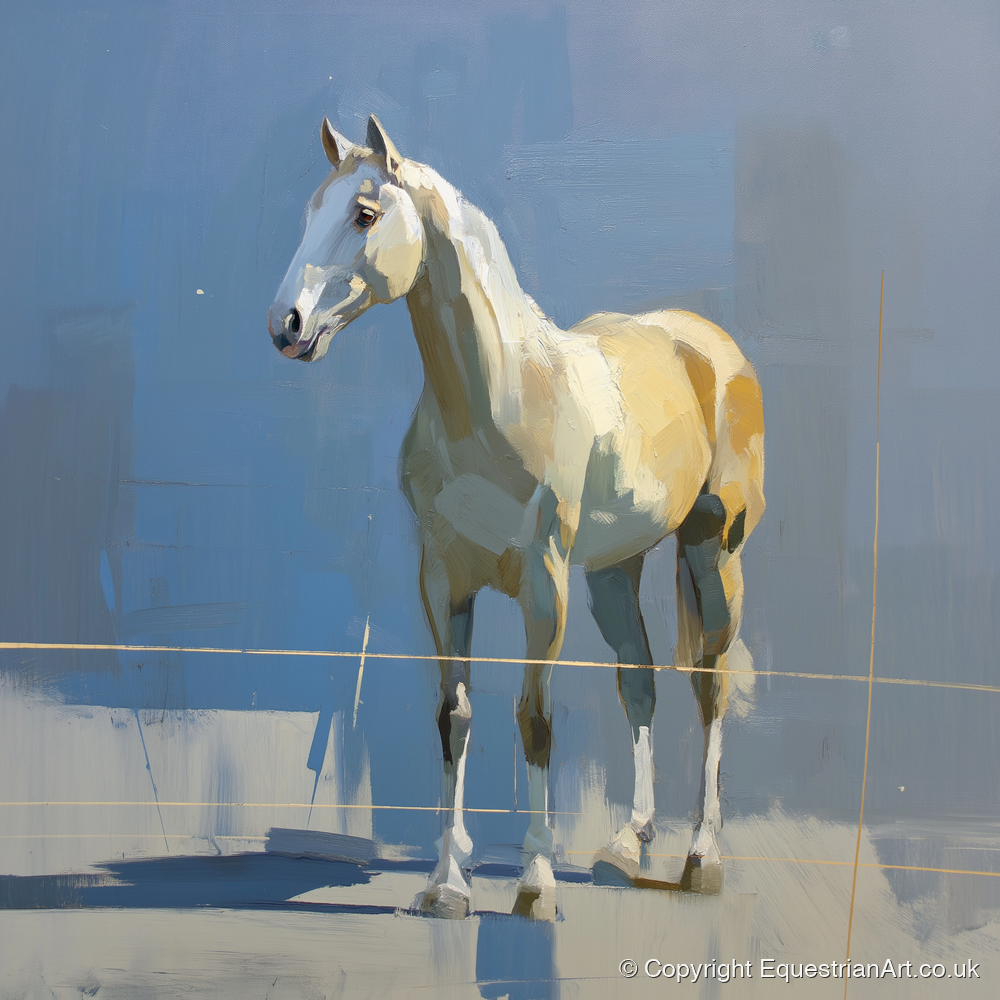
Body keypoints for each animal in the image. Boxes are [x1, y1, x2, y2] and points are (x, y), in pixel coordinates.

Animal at [267, 115, 765, 920]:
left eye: (364, 214)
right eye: (313, 209)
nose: (287, 324)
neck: (496, 401)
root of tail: (706, 342)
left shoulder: (543, 585)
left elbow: (534, 718)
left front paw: (536, 882)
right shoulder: (442, 581)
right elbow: (455, 718)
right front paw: (446, 883)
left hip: (711, 549)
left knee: (710, 684)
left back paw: (700, 859)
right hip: (614, 571)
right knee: (639, 681)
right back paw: (627, 846)